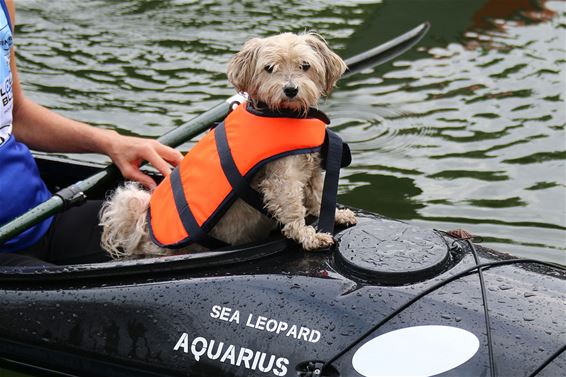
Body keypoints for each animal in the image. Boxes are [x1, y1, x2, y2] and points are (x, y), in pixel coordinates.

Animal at [100, 32, 358, 258]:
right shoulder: (282, 178)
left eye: (305, 65)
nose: (291, 89)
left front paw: (335, 215)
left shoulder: (312, 167)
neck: (285, 115)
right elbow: (293, 207)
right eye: (269, 68)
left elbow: (318, 195)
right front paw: (309, 237)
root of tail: (142, 232)